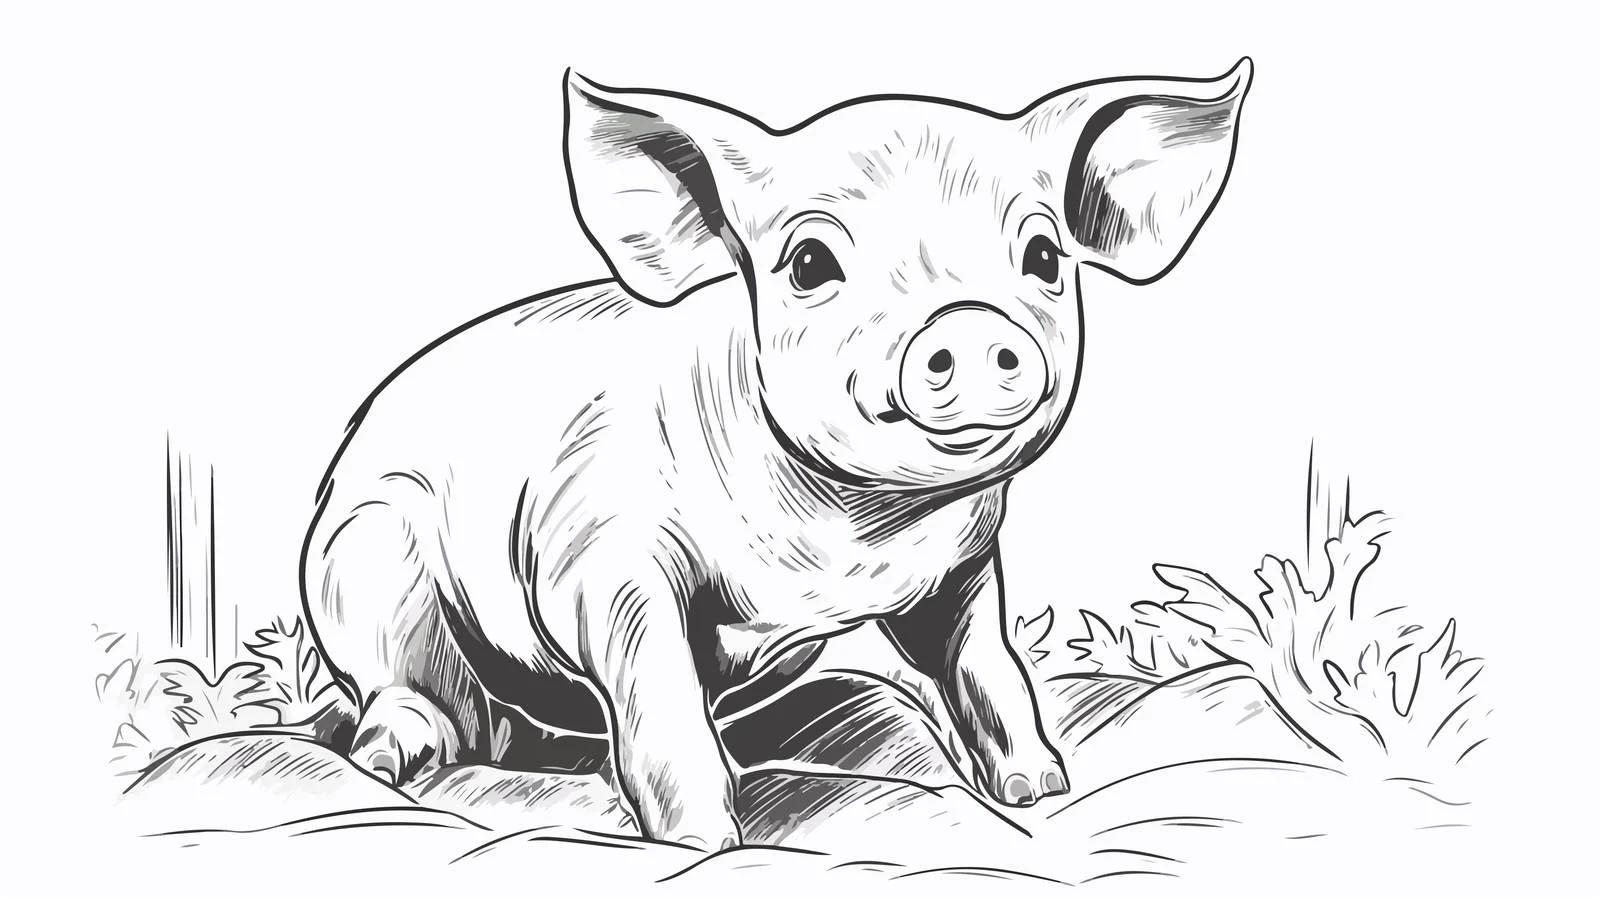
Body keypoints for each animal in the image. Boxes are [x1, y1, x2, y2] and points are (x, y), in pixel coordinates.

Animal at [300, 59, 1252, 850]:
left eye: (1045, 254)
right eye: (810, 261)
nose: (970, 325)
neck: (849, 537)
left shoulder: (963, 564)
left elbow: (988, 664)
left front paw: (1038, 788)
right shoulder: (599, 556)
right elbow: (659, 699)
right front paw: (705, 844)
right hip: (362, 561)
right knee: (419, 694)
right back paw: (397, 754)